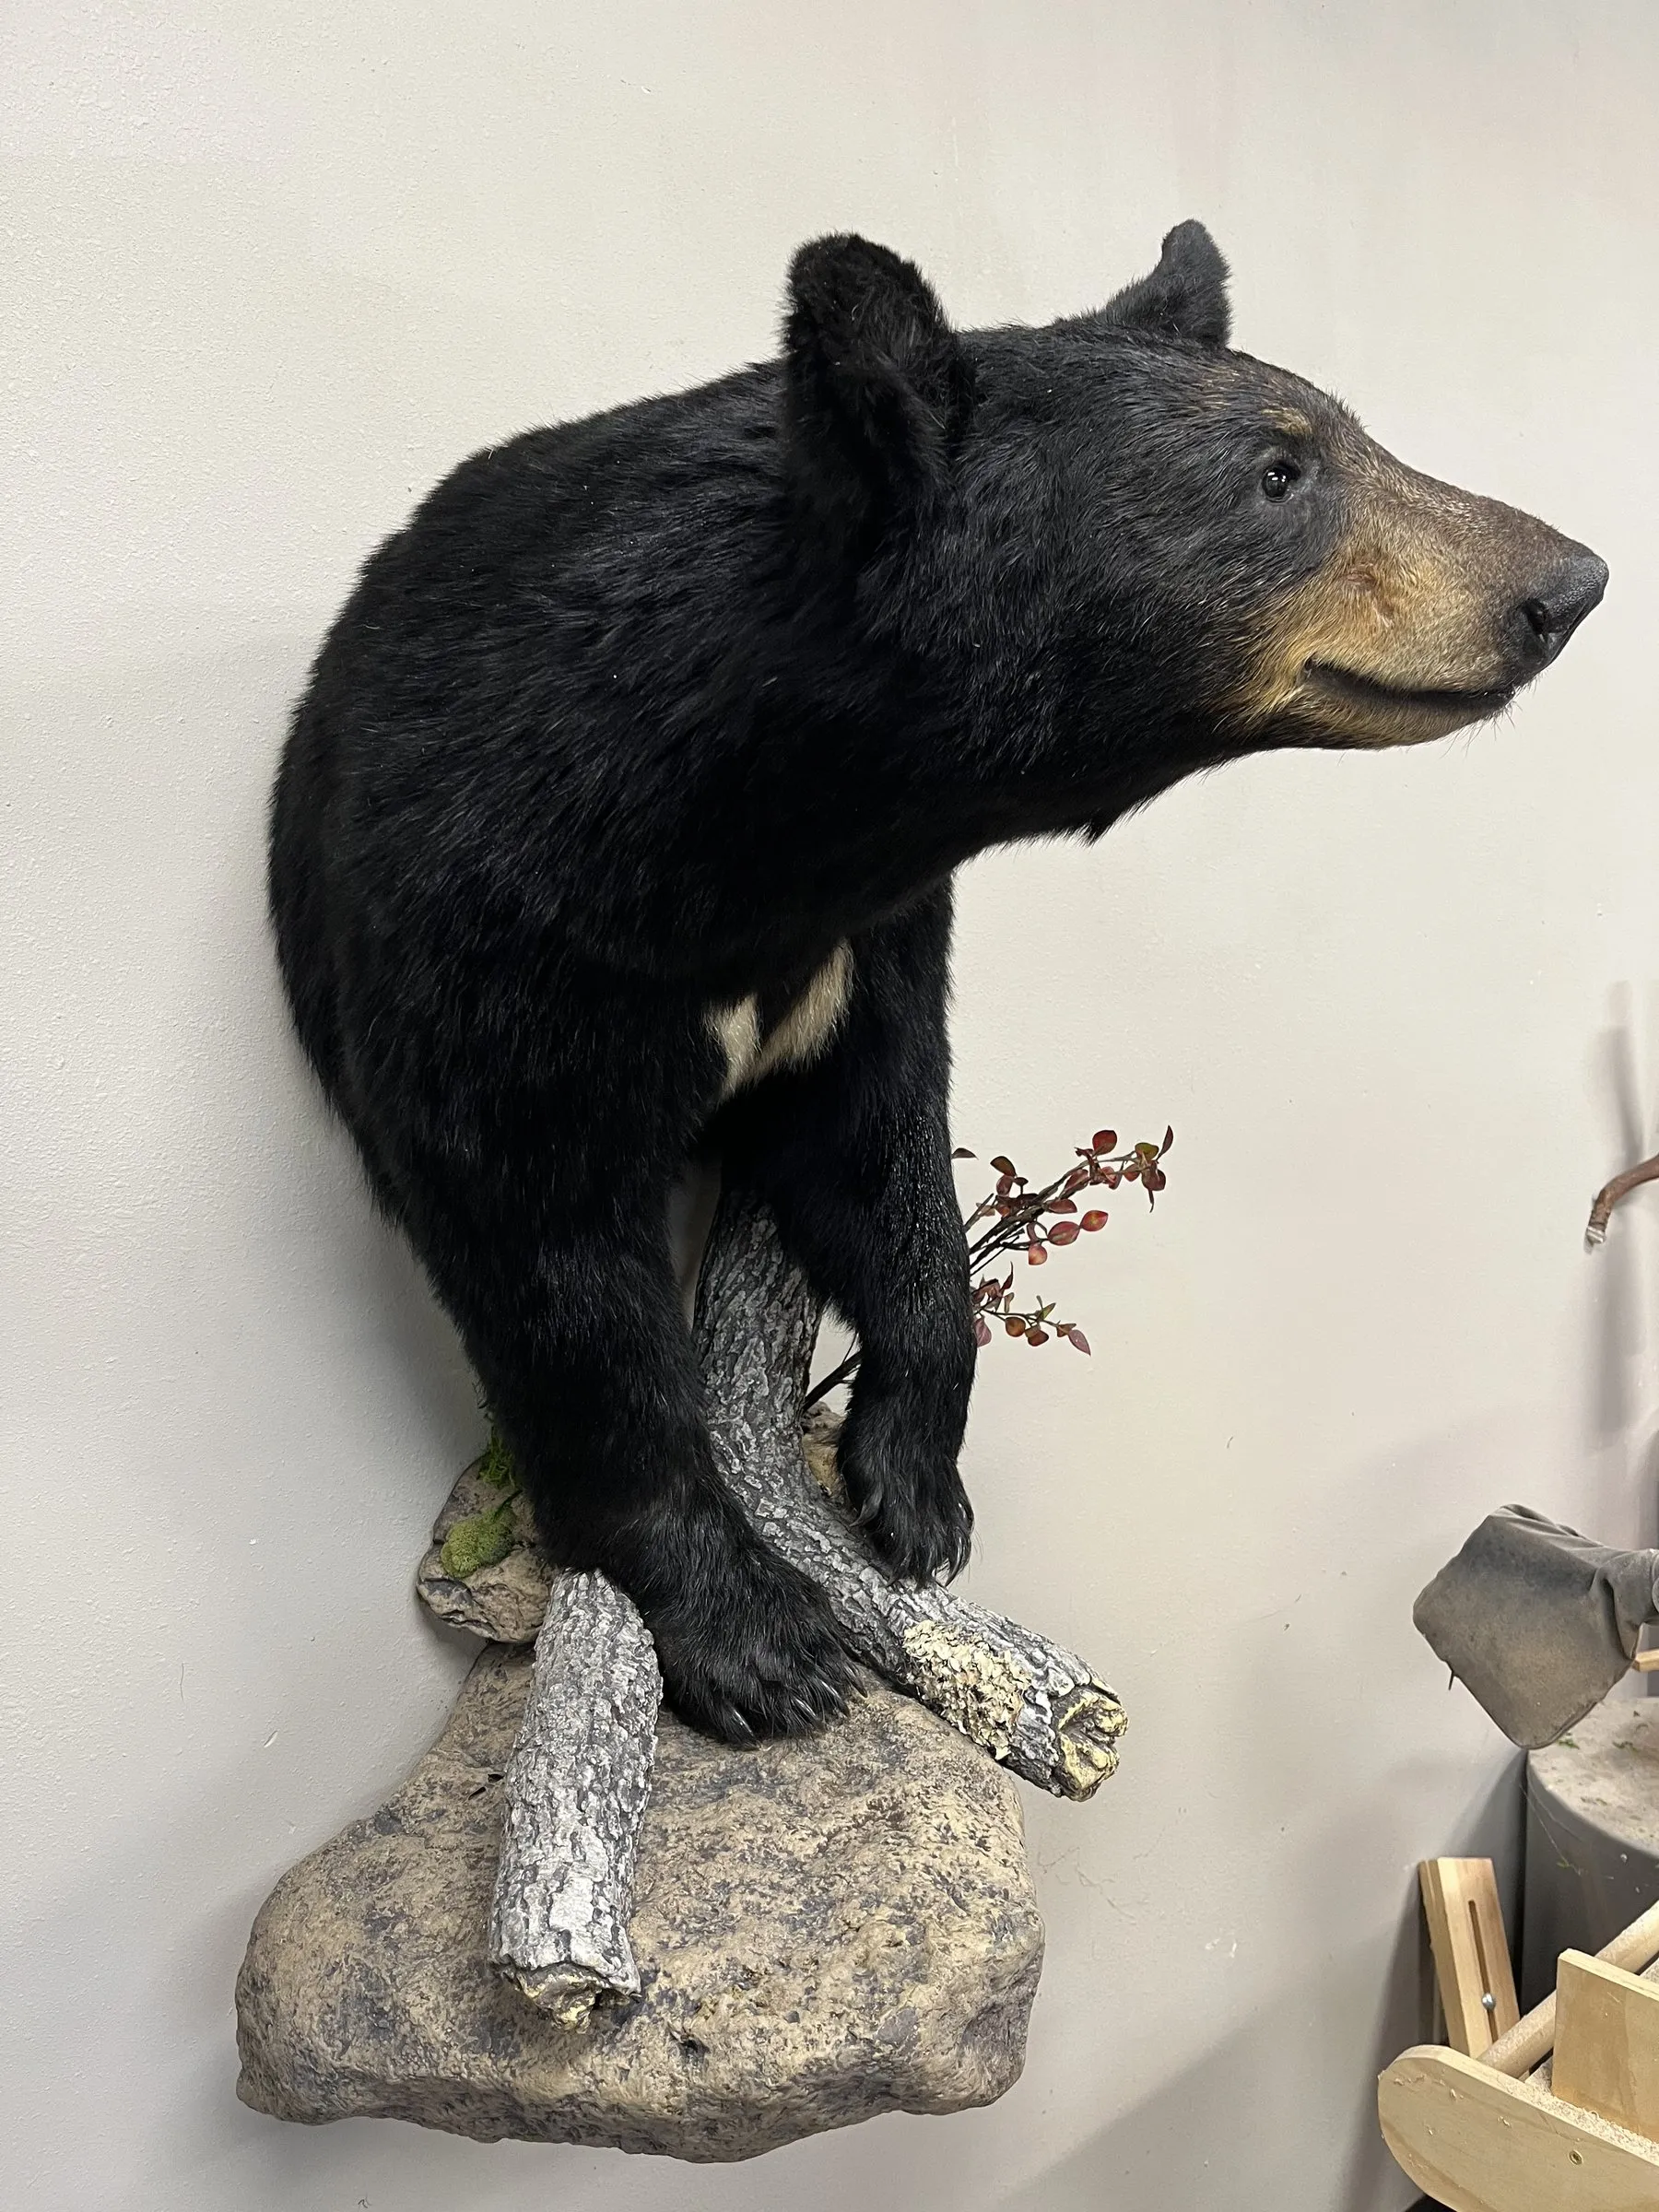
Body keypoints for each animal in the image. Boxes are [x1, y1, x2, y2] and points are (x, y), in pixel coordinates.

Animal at [269, 222, 1606, 1742]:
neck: (739, 829)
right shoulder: (487, 941)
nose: (1569, 582)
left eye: (1343, 431)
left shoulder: (873, 929)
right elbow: (547, 1266)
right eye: (1280, 470)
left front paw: (915, 1482)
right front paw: (755, 1638)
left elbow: (884, 1136)